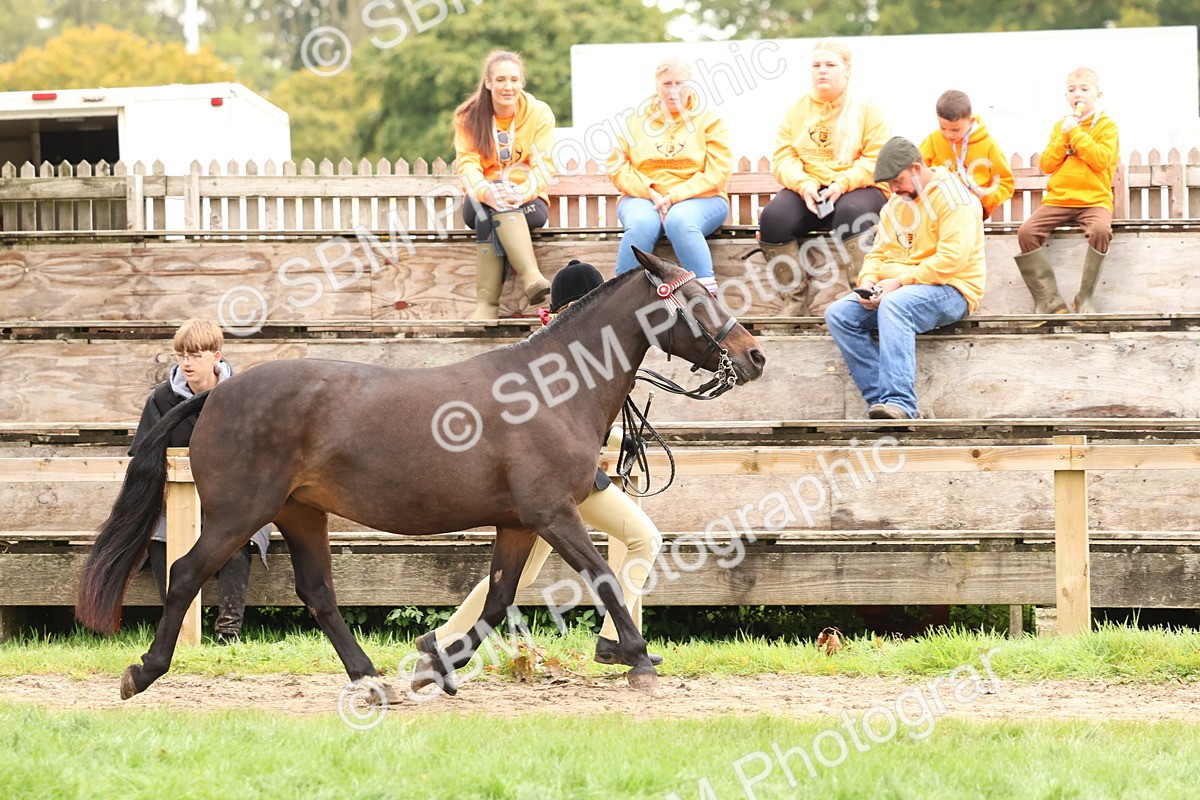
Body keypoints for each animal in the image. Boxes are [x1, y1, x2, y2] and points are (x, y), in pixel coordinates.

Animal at [75, 248, 766, 700]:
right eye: (699, 300)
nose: (755, 355)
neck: (551, 390)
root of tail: (214, 395)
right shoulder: (552, 514)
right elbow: (599, 578)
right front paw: (640, 660)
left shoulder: (519, 524)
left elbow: (498, 598)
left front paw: (436, 663)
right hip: (239, 514)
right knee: (188, 573)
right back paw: (143, 671)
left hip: (301, 513)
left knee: (318, 594)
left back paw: (370, 678)